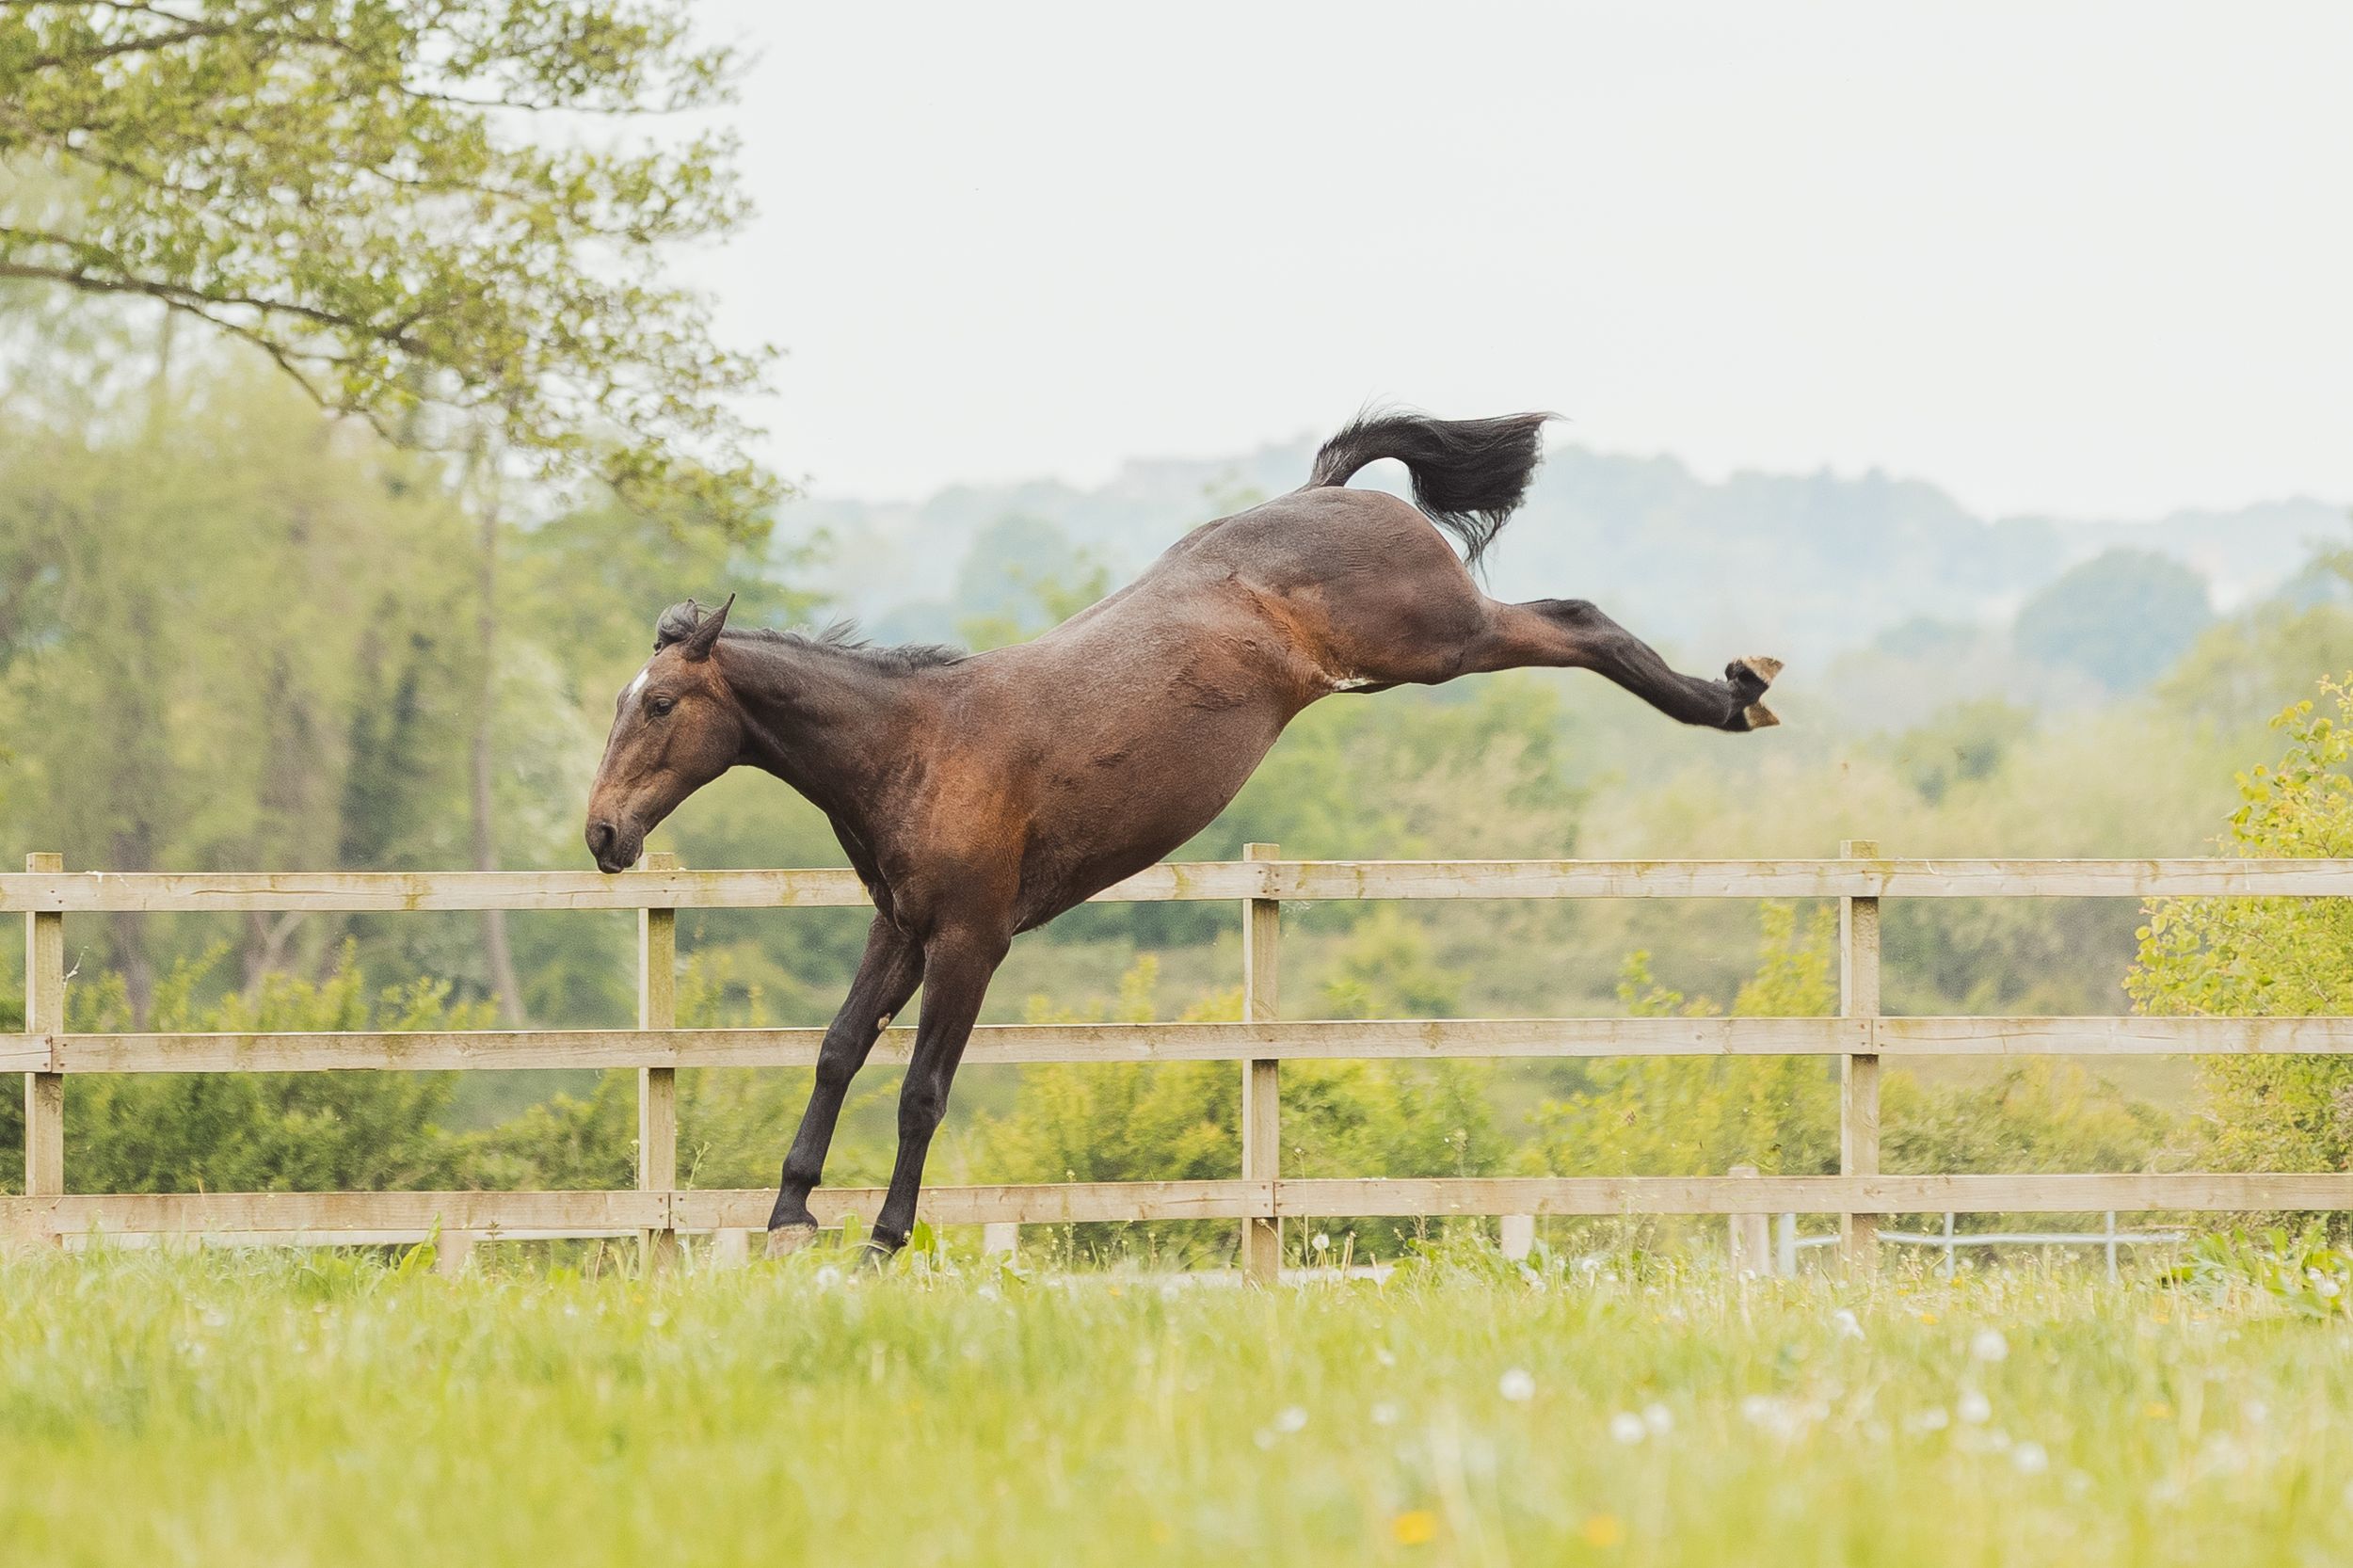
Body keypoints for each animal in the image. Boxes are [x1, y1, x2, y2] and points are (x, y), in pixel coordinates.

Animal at [583, 411, 1783, 1259]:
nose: (602, 833)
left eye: (658, 705)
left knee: (1573, 618)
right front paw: (790, 1214)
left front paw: (883, 1236)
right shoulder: (901, 930)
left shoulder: (971, 941)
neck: (918, 744)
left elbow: (922, 1089)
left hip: (1439, 640)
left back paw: (1733, 695)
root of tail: (1324, 490)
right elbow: (836, 1049)